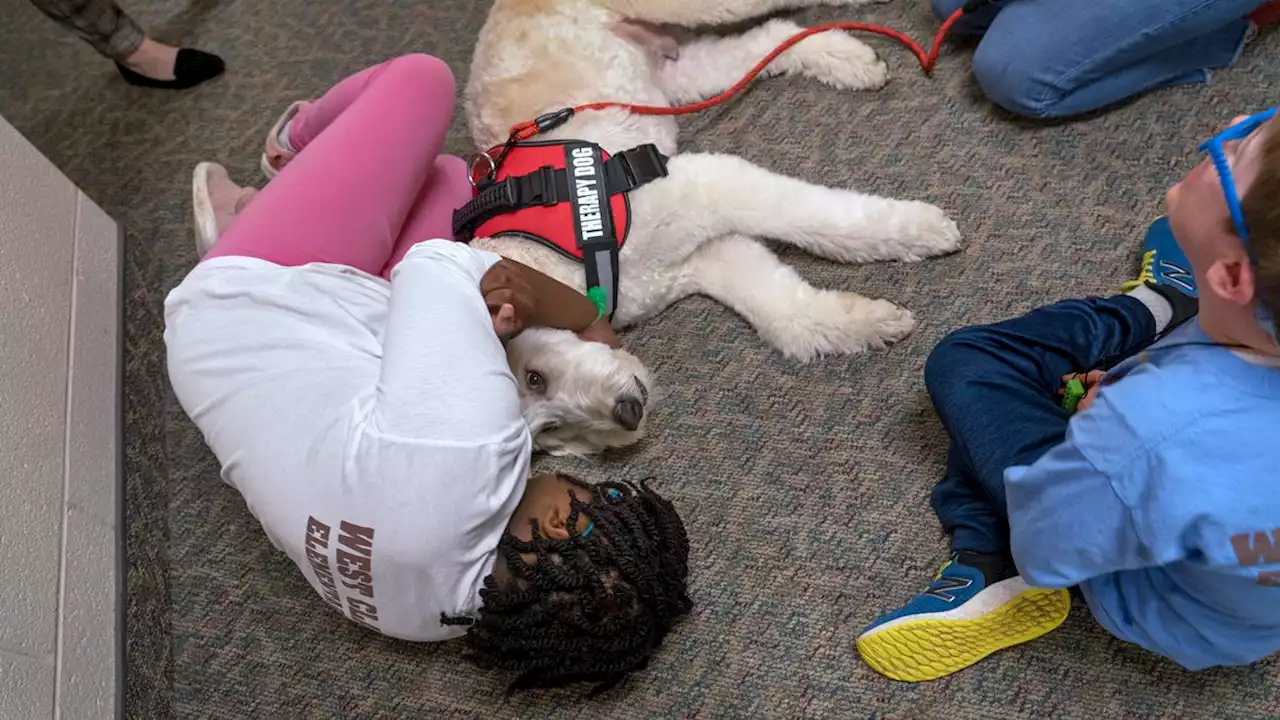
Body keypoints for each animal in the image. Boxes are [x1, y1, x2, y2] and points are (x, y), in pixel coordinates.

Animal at [465, 0, 962, 453]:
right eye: (550, 432)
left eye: (535, 376)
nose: (627, 415)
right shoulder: (700, 259)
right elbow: (788, 317)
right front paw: (872, 322)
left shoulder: (706, 185)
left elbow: (816, 217)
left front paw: (919, 230)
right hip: (673, 76)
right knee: (768, 39)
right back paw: (846, 59)